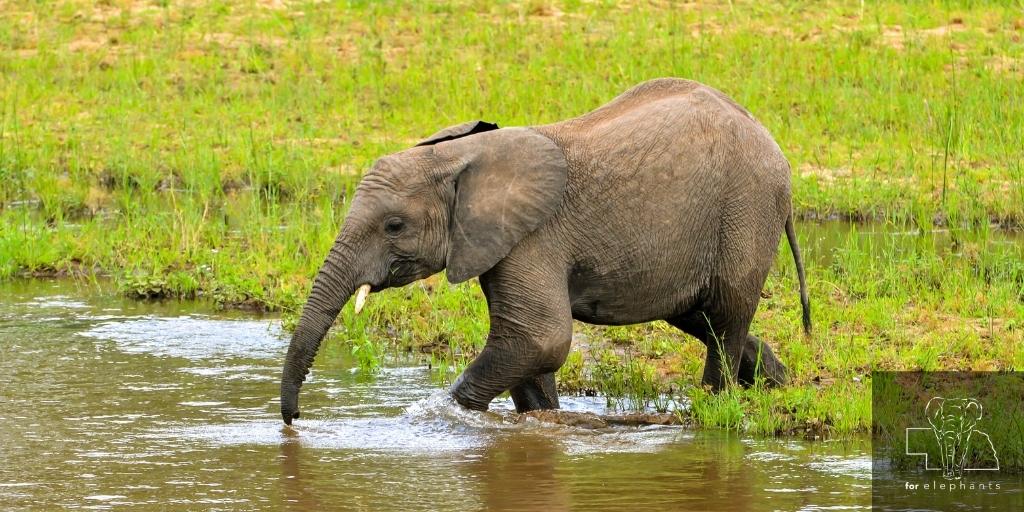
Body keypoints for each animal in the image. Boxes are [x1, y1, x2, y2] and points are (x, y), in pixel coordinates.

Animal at [280, 78, 811, 424]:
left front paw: (441, 419)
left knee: (725, 315)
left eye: (394, 226)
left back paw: (716, 406)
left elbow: (539, 338)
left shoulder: (533, 237)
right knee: (699, 315)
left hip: (746, 209)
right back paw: (777, 385)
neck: (461, 157)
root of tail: (775, 149)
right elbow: (527, 347)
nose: (294, 421)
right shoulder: (498, 243)